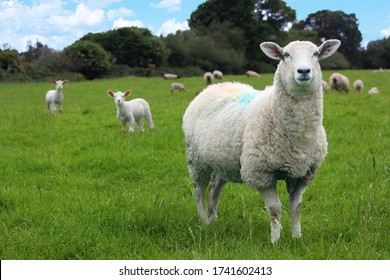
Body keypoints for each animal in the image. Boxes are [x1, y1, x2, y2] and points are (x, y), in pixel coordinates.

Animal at [184, 38, 342, 243]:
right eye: (286, 55)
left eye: (316, 53)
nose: (304, 71)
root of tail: (212, 87)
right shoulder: (261, 173)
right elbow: (274, 210)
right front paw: (275, 241)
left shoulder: (303, 173)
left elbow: (296, 209)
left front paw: (297, 238)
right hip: (196, 160)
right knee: (199, 190)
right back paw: (203, 220)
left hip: (222, 162)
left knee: (214, 188)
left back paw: (212, 220)